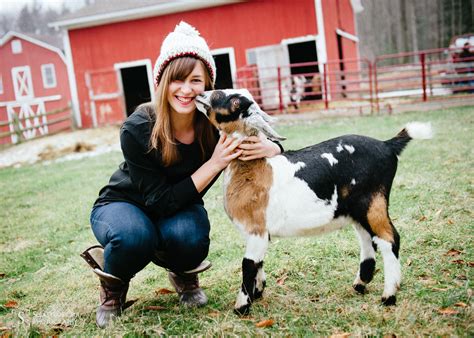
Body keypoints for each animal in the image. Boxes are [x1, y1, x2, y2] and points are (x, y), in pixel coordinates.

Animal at [194, 88, 432, 316]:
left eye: (234, 102)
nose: (201, 94)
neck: (253, 168)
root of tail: (388, 146)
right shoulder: (258, 234)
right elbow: (259, 262)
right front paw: (258, 292)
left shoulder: (256, 229)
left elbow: (248, 264)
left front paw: (242, 307)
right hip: (358, 208)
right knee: (367, 239)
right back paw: (360, 284)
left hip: (373, 201)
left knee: (389, 239)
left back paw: (388, 296)